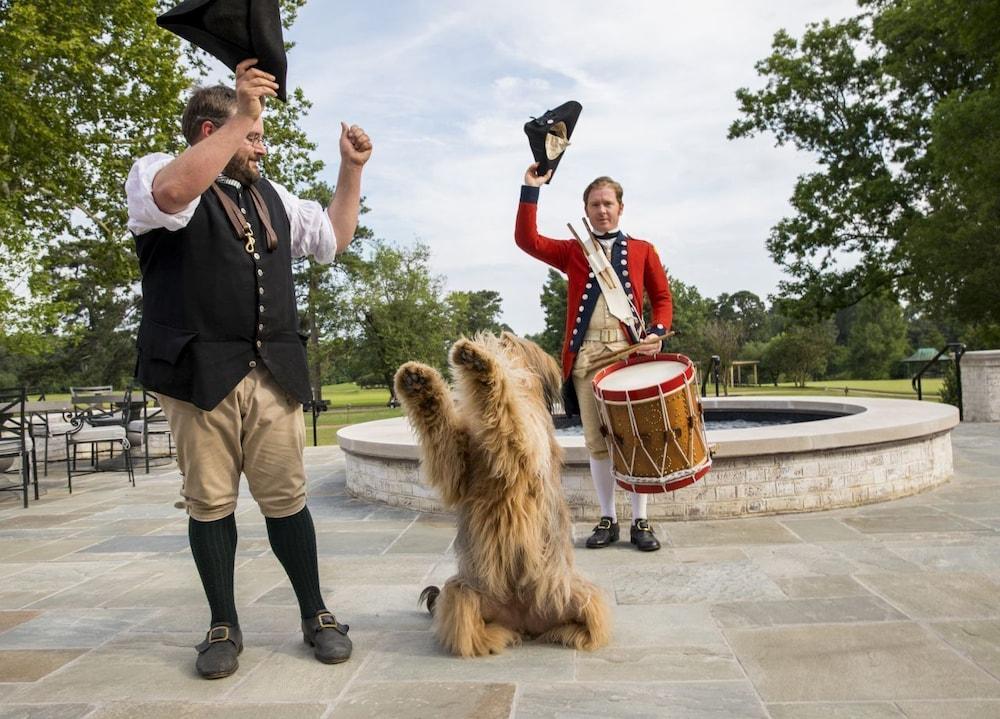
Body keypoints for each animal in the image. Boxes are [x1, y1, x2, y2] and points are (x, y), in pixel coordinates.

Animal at [390, 332, 608, 660]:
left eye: (503, 344)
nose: (481, 348)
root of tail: (525, 621)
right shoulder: (458, 467)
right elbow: (442, 434)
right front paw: (419, 382)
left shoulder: (521, 444)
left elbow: (505, 409)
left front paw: (483, 366)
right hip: (463, 592)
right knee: (469, 631)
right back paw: (494, 637)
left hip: (575, 593)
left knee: (591, 621)